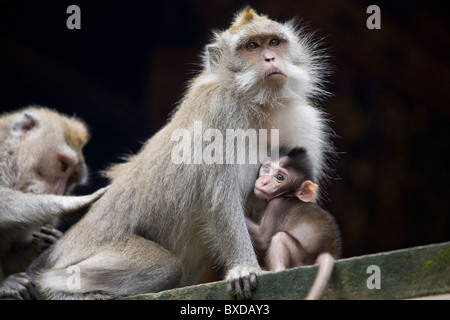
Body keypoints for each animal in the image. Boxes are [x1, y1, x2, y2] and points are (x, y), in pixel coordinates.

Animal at [246, 148, 342, 300]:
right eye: (266, 169)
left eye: (279, 177)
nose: (264, 182)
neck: (287, 196)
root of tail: (329, 252)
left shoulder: (276, 206)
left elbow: (262, 238)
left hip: (301, 260)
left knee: (280, 237)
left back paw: (275, 271)